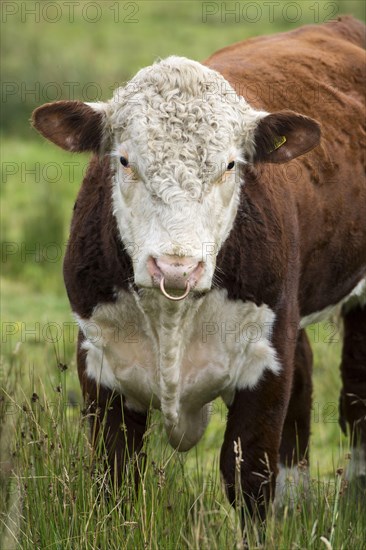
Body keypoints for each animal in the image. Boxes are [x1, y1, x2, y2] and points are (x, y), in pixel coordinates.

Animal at [32, 15, 366, 528]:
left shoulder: (264, 363)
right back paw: (297, 499)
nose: (177, 267)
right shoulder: (98, 363)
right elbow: (116, 478)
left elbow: (249, 478)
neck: (173, 321)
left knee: (356, 393)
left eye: (230, 165)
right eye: (124, 160)